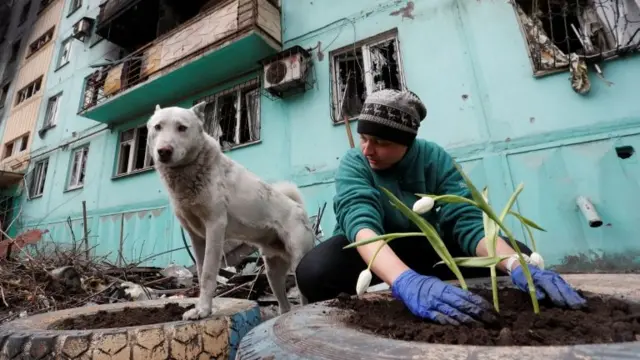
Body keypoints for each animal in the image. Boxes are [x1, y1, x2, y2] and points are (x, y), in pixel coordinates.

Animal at [145, 102, 316, 320]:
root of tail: (299, 208)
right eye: (157, 127)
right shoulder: (196, 237)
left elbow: (209, 274)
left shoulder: (215, 226)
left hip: (299, 263)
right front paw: (203, 308)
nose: (164, 151)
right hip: (273, 273)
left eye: (182, 128)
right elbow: (200, 271)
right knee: (284, 304)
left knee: (304, 299)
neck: (189, 171)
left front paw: (203, 311)